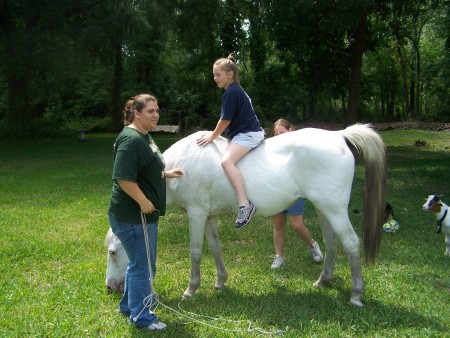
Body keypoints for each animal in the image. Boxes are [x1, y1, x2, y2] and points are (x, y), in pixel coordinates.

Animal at [106, 123, 386, 306]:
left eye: (113, 252)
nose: (110, 287)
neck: (182, 165)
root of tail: (338, 136)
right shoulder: (209, 216)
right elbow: (215, 247)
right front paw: (220, 282)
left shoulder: (196, 214)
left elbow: (196, 251)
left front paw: (191, 289)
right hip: (323, 209)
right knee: (331, 243)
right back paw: (323, 281)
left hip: (334, 210)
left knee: (351, 244)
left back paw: (356, 295)